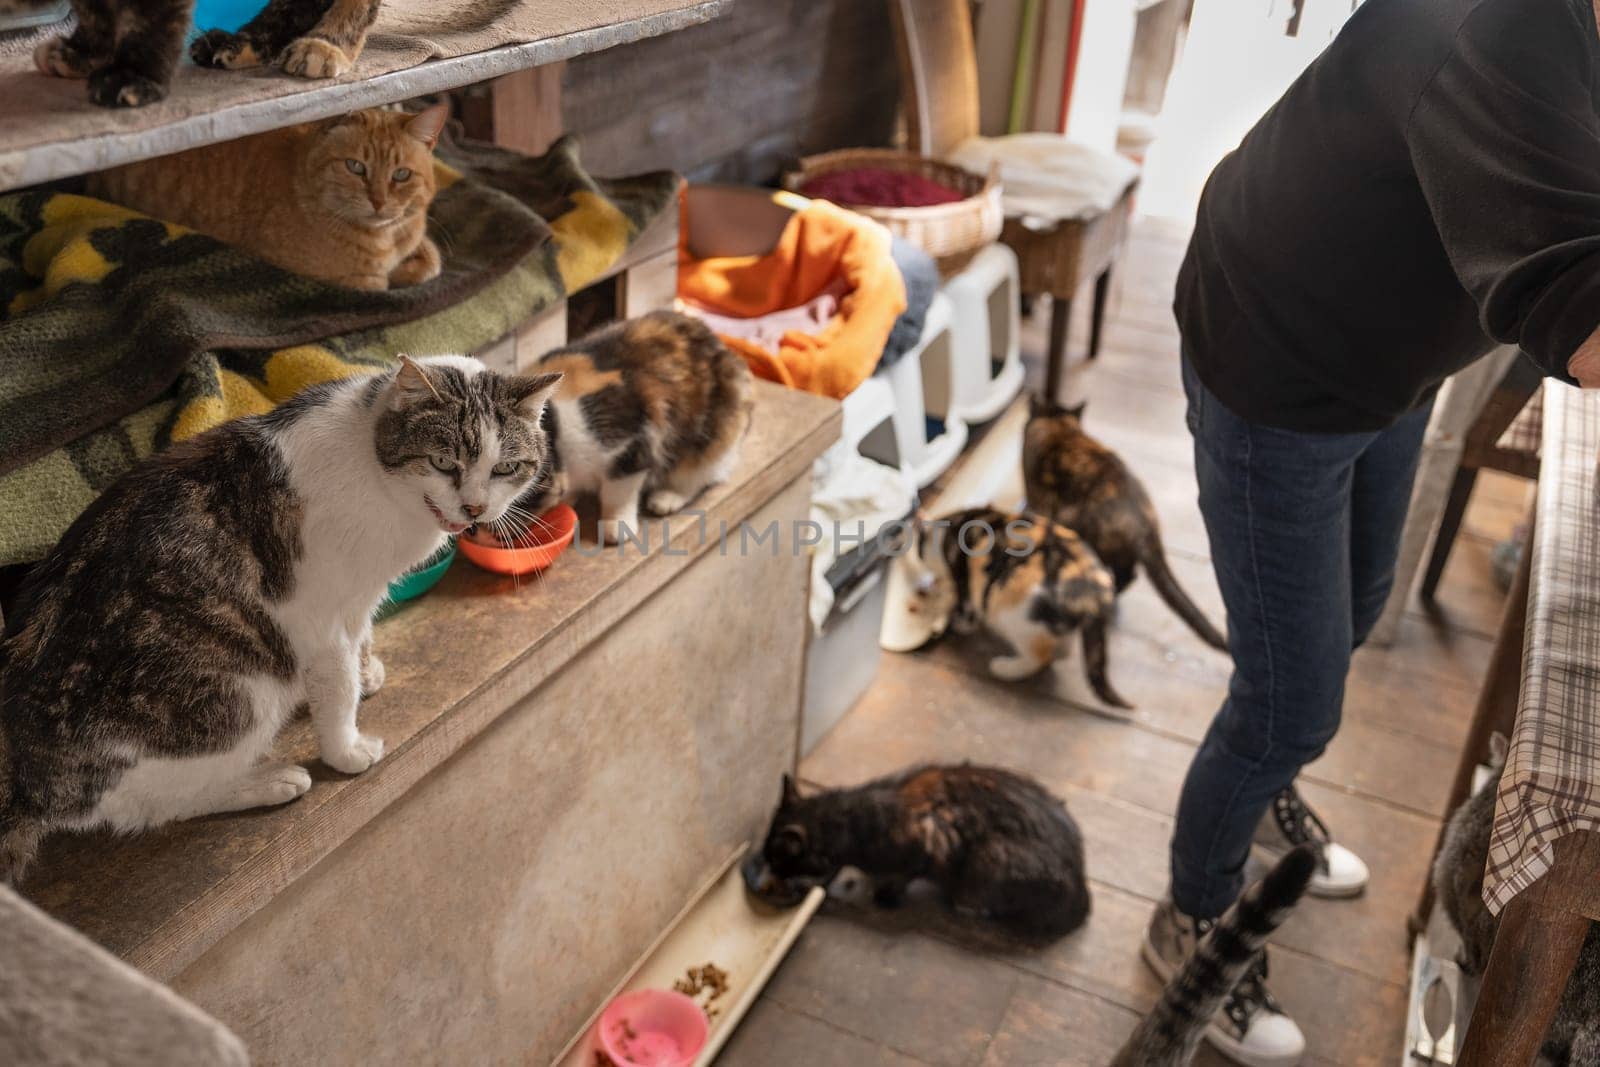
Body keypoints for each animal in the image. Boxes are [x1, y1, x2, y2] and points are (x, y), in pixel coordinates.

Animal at [0, 355, 563, 889]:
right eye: (444, 461)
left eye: (506, 467)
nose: (474, 508)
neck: (379, 479)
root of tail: (28, 772)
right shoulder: (319, 617)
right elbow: (336, 688)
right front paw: (347, 749)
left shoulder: (358, 598)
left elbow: (358, 645)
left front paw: (367, 673)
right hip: (237, 697)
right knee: (144, 805)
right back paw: (267, 782)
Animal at [90, 104, 448, 292]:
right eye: (355, 167)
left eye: (401, 175)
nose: (378, 201)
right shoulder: (358, 284)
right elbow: (382, 283)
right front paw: (398, 277)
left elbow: (433, 261)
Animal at [742, 764, 1094, 947]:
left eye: (777, 861)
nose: (767, 874)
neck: (850, 823)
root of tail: (1082, 894)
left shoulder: (925, 841)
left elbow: (899, 875)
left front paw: (883, 895)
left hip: (991, 855)